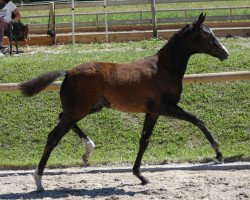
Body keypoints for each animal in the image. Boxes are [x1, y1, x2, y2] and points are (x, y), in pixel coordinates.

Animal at [20, 13, 229, 191]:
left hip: (88, 108)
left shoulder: (152, 112)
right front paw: (218, 152)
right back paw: (39, 181)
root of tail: (69, 72)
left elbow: (144, 140)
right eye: (207, 35)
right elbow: (197, 119)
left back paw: (88, 150)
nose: (225, 53)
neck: (164, 68)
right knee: (53, 136)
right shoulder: (165, 107)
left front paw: (140, 176)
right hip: (79, 109)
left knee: (61, 117)